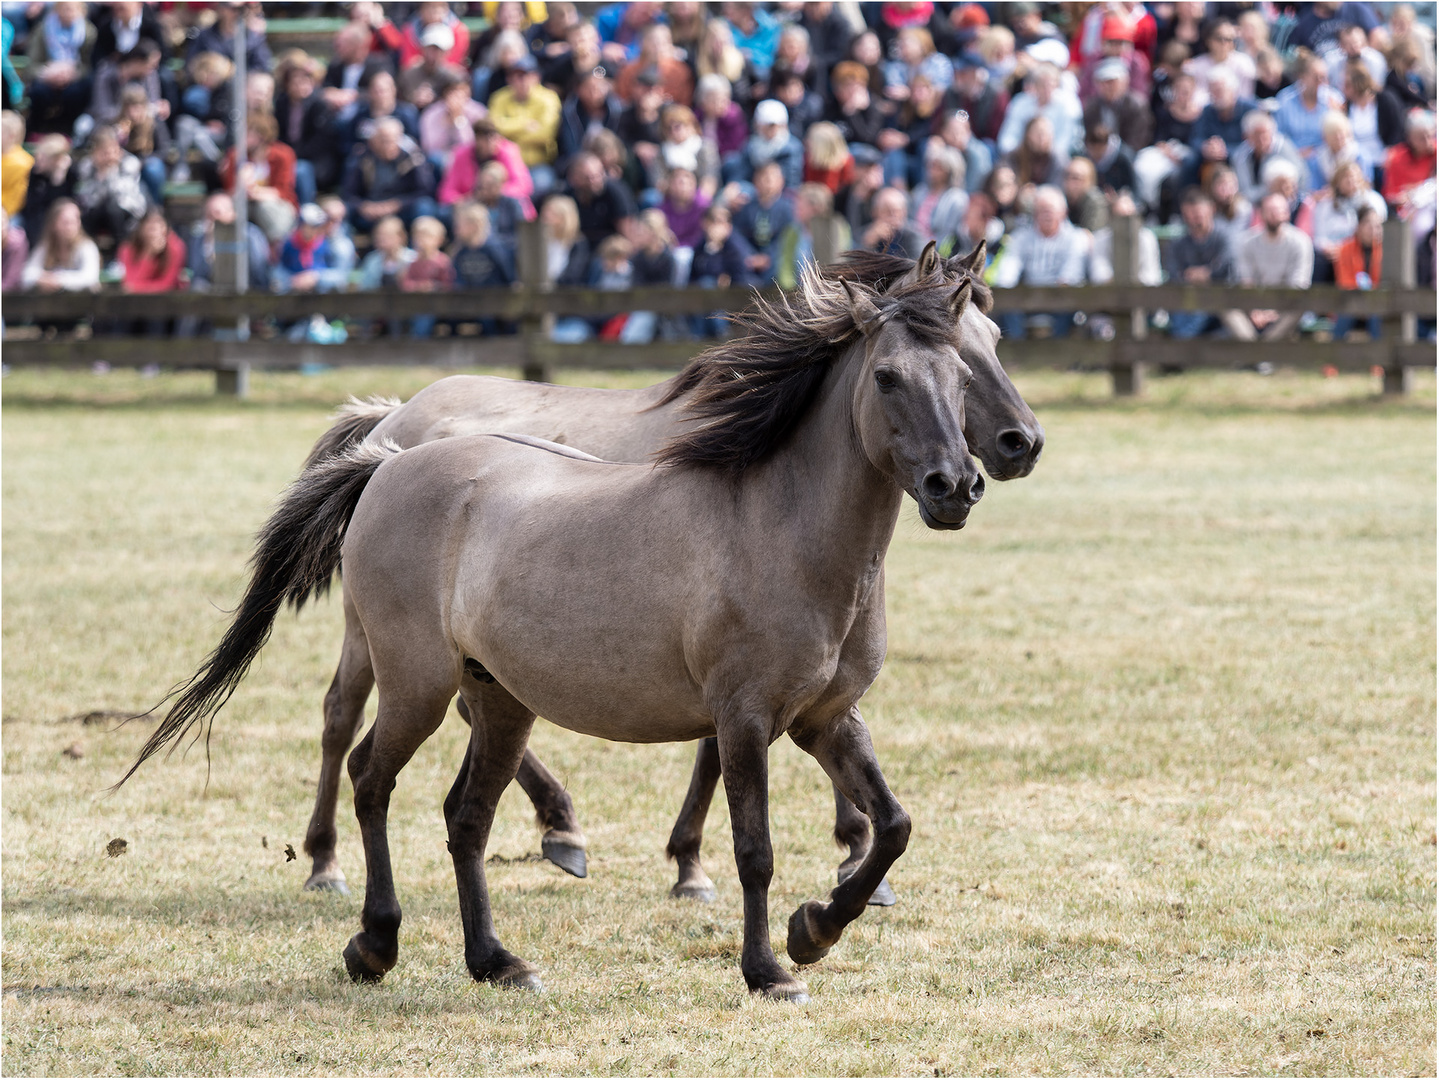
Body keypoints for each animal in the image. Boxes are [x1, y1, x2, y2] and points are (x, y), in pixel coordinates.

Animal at [123, 264, 990, 1006]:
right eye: (886, 378)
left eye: (964, 377)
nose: (955, 487)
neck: (779, 526)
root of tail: (389, 460)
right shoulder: (744, 720)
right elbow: (756, 851)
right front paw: (769, 970)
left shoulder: (825, 719)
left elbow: (892, 826)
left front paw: (813, 929)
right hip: (416, 682)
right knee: (371, 775)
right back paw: (374, 942)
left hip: (500, 699)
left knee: (464, 816)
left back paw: (497, 960)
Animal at [292, 243, 1047, 903]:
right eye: (890, 377)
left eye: (991, 342)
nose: (1017, 446)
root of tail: (393, 425)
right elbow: (720, 759)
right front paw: (703, 865)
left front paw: (846, 859)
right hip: (379, 638)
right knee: (341, 717)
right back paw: (331, 861)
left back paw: (556, 828)